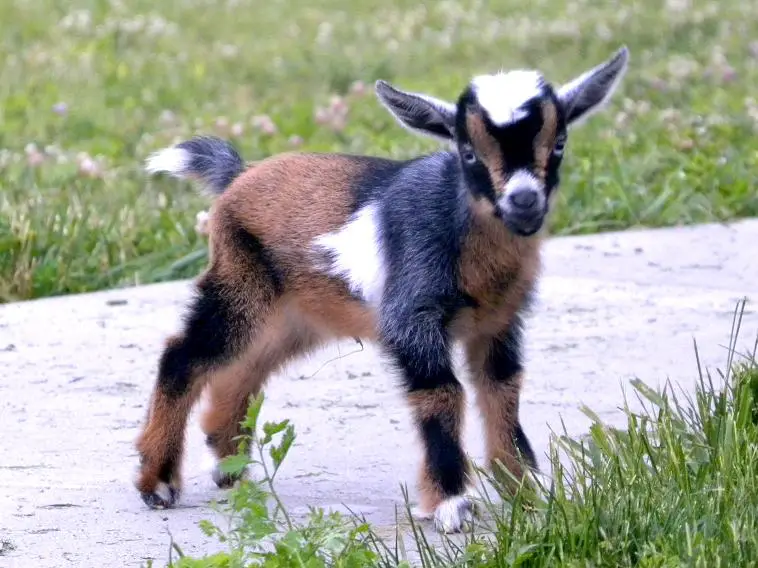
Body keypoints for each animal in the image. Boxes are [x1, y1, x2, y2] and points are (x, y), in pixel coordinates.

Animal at [135, 45, 628, 532]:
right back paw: (158, 483)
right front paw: (451, 503)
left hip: (297, 313)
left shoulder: (499, 322)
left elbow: (502, 389)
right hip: (239, 282)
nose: (523, 202)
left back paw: (228, 466)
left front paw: (526, 492)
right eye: (468, 152)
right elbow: (441, 392)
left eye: (559, 143)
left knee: (246, 366)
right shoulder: (412, 315)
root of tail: (238, 175)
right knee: (184, 356)